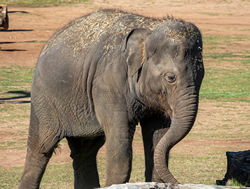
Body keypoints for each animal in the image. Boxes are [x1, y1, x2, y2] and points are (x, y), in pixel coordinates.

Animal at [19, 9, 203, 189]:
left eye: (201, 76)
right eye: (170, 77)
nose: (179, 182)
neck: (149, 27)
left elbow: (157, 133)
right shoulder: (108, 83)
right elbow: (120, 146)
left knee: (85, 150)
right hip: (44, 98)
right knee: (41, 148)